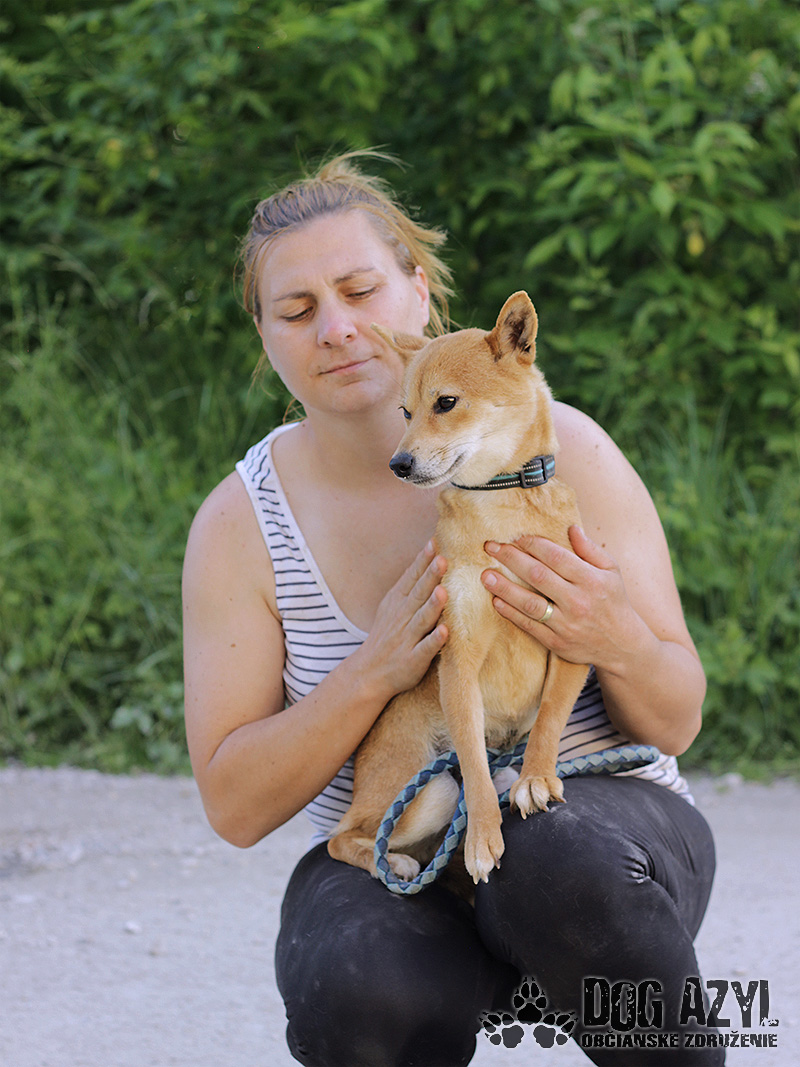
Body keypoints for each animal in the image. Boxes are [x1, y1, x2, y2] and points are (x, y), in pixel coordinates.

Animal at [327, 291, 590, 885]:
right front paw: (483, 836)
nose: (398, 463)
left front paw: (536, 777)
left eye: (445, 403)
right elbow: (471, 758)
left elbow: (551, 718)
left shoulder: (572, 638)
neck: (502, 502)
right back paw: (395, 861)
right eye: (404, 412)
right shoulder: (459, 659)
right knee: (346, 837)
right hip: (432, 793)